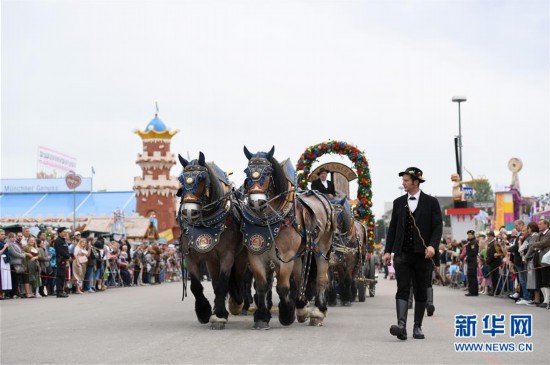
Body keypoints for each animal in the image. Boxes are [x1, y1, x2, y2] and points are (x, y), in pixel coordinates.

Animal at [177, 152, 248, 328]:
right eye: (181, 179)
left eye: (202, 178)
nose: (189, 212)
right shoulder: (191, 256)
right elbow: (196, 286)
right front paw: (204, 312)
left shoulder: (227, 255)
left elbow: (223, 283)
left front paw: (221, 315)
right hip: (211, 261)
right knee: (215, 283)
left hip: (241, 257)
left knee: (238, 279)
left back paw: (236, 303)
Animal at [238, 146, 334, 328]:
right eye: (247, 171)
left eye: (268, 172)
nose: (256, 202)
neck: (268, 221)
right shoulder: (255, 255)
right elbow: (262, 286)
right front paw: (262, 317)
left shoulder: (286, 256)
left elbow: (282, 286)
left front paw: (286, 314)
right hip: (300, 253)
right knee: (300, 277)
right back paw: (302, 308)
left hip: (322, 248)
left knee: (321, 278)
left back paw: (318, 312)